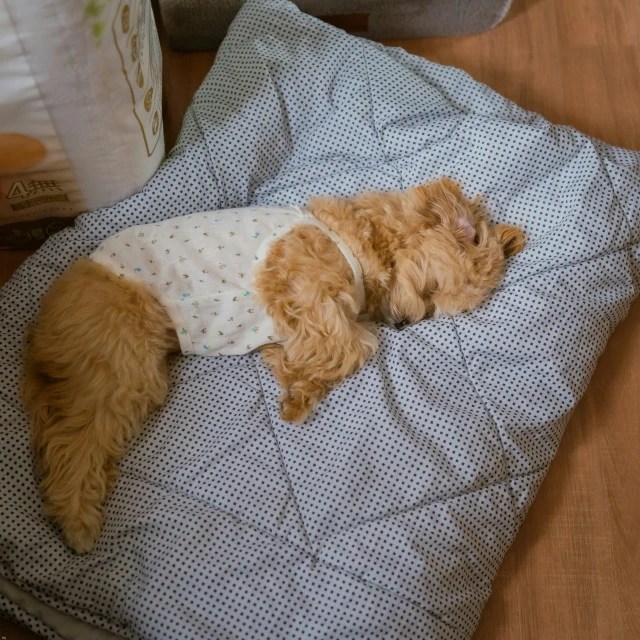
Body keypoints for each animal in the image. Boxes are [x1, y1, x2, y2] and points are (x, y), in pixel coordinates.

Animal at [23, 178, 524, 552]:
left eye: (436, 311)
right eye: (430, 290)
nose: (403, 325)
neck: (361, 240)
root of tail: (48, 316)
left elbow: (341, 346)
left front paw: (295, 382)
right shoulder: (300, 284)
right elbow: (354, 343)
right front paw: (292, 370)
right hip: (120, 365)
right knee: (72, 443)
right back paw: (76, 520)